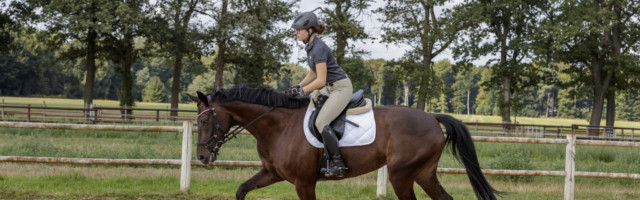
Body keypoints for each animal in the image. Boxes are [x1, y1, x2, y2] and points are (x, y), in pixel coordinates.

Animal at [188, 85, 502, 199]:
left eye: (203, 122)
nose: (202, 158)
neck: (277, 126)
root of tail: (431, 118)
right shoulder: (272, 173)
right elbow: (242, 189)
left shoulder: (304, 183)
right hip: (423, 173)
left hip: (402, 174)